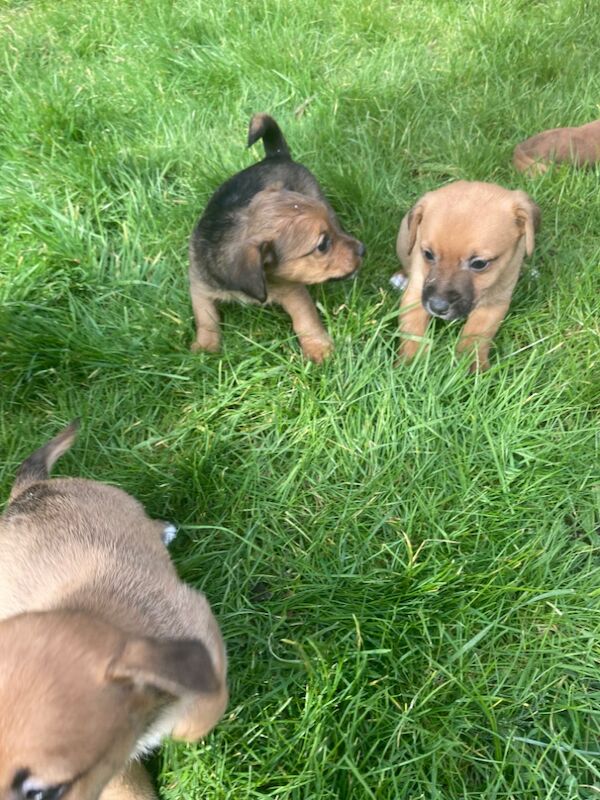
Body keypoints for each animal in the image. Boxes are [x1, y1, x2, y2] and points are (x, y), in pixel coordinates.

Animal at [0, 422, 229, 796]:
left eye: (42, 793)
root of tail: (28, 490)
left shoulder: (205, 644)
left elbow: (201, 711)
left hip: (120, 502)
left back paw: (163, 530)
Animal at [188, 112, 366, 362]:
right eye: (322, 245)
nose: (362, 249)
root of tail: (276, 155)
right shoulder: (199, 285)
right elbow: (205, 318)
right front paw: (205, 347)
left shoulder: (292, 290)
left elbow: (306, 321)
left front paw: (318, 348)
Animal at [392, 181, 540, 372]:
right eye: (428, 254)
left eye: (479, 263)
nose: (437, 307)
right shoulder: (417, 293)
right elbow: (413, 331)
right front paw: (411, 364)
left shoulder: (493, 303)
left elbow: (476, 335)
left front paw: (471, 366)